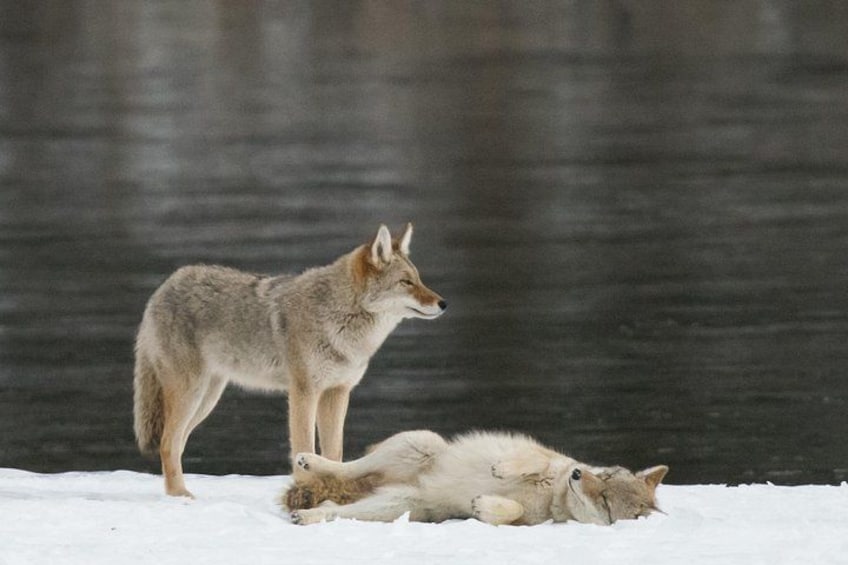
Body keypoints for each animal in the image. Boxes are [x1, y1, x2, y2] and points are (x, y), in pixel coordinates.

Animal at [133, 223, 447, 497]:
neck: (340, 318)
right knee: (167, 443)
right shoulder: (303, 392)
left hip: (207, 398)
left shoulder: (337, 393)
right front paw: (306, 490)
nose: (443, 303)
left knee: (176, 444)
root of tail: (162, 288)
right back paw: (180, 496)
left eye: (419, 280)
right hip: (192, 394)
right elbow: (303, 447)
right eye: (406, 282)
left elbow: (334, 453)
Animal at [284, 430, 668, 526]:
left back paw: (309, 514)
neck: (555, 495)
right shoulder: (547, 458)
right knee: (346, 467)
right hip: (422, 443)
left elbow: (511, 513)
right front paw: (502, 469)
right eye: (604, 477)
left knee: (335, 507)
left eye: (605, 500)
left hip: (399, 506)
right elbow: (531, 461)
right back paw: (307, 460)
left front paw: (483, 505)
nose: (577, 474)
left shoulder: (528, 521)